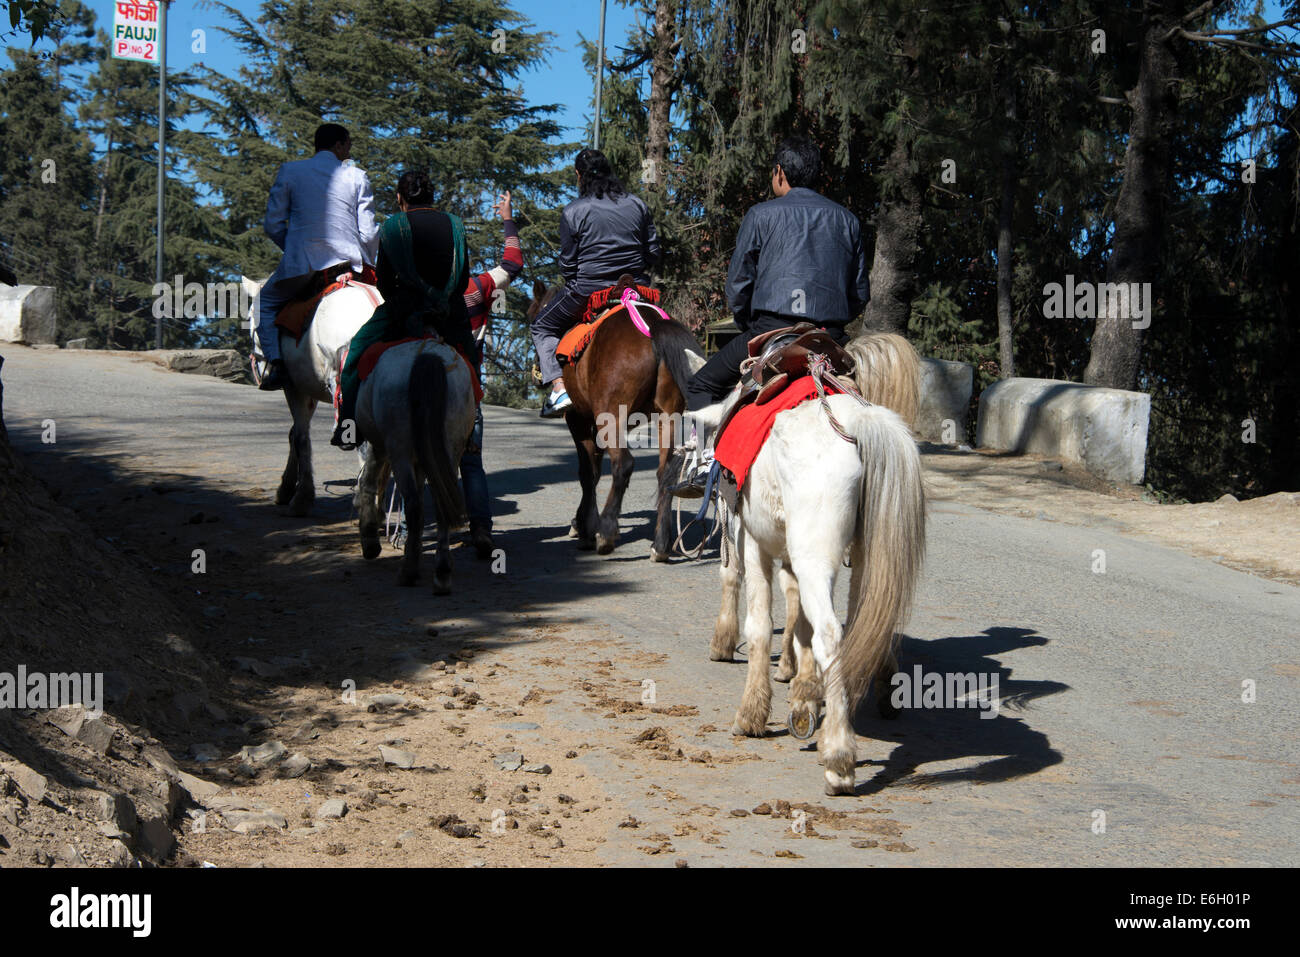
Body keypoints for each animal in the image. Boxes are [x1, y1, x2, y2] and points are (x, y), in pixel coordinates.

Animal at [241, 276, 379, 514]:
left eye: (250, 317)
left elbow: (300, 437)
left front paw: (301, 498)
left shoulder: (294, 388)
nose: (263, 375)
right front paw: (286, 488)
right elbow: (293, 434)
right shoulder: (310, 392)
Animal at [356, 335, 478, 590]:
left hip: (399, 449)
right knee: (441, 503)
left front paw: (370, 541)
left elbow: (368, 481)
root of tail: (428, 355)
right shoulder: (422, 459)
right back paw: (442, 571)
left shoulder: (378, 445)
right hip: (450, 449)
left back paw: (408, 571)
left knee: (412, 504)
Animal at [525, 274, 707, 561]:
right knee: (665, 472)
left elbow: (588, 472)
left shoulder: (578, 419)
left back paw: (607, 532)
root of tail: (652, 326)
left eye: (533, 317)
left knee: (624, 464)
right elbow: (595, 469)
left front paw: (586, 528)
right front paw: (581, 522)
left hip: (609, 417)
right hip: (668, 418)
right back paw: (660, 545)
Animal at [707, 332, 930, 795]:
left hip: (806, 553)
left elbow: (758, 623)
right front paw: (803, 692)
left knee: (831, 636)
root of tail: (857, 423)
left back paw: (839, 758)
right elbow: (798, 619)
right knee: (860, 623)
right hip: (861, 559)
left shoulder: (750, 541)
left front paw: (752, 712)